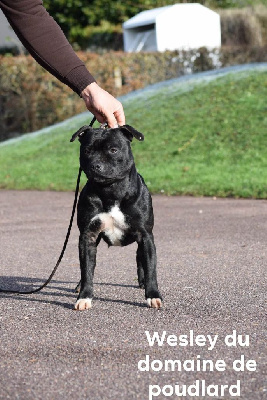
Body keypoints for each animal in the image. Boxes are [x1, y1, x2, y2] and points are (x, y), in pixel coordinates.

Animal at [71, 123, 162, 310]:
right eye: (87, 150)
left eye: (113, 150)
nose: (95, 165)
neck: (111, 190)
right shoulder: (88, 236)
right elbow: (86, 268)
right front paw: (84, 296)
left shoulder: (146, 236)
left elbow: (151, 267)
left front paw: (153, 295)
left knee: (140, 258)